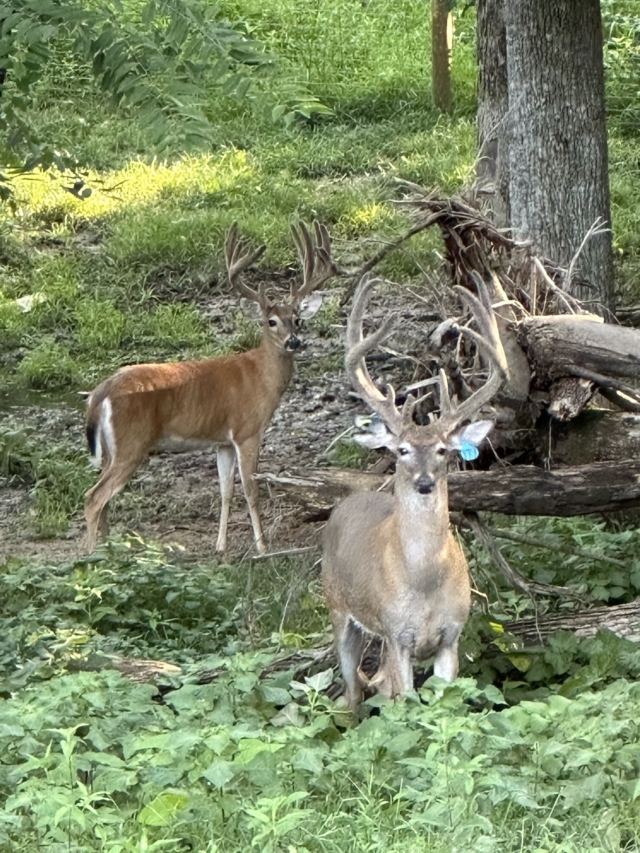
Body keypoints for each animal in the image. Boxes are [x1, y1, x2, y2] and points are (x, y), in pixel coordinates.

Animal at [84, 221, 338, 555]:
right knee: (93, 498)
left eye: (297, 320)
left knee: (104, 500)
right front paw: (262, 547)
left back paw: (107, 549)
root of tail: (99, 394)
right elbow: (251, 490)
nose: (293, 342)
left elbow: (226, 490)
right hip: (131, 443)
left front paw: (220, 546)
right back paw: (91, 555)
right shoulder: (247, 430)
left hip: (112, 451)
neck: (260, 376)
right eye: (270, 321)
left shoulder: (222, 442)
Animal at [322, 274, 509, 709]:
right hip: (338, 607)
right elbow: (404, 705)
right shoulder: (396, 634)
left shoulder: (452, 635)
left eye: (442, 449)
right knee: (354, 693)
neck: (423, 583)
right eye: (402, 450)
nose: (424, 482)